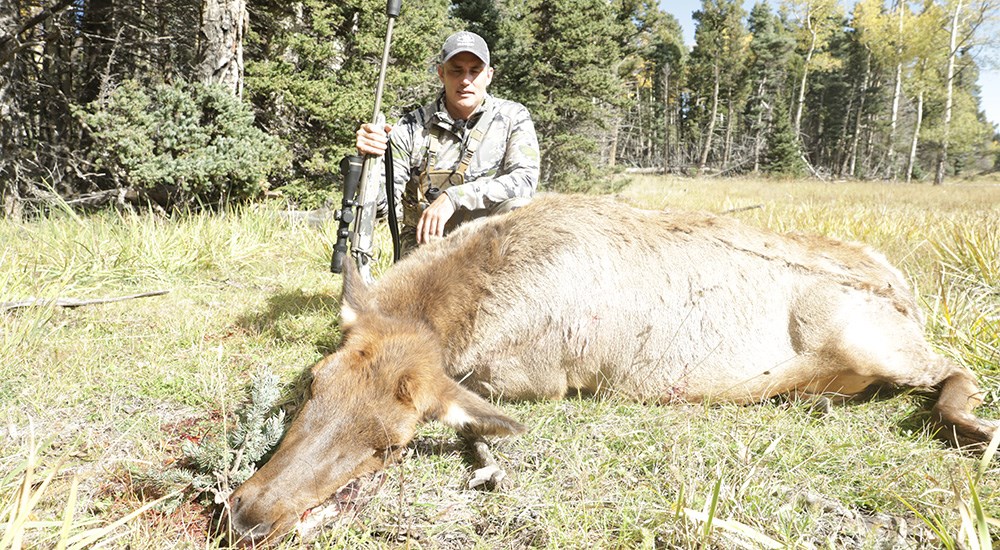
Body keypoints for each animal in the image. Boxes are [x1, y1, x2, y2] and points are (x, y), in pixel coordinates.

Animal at [227, 194, 992, 544]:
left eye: (392, 443)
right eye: (313, 384)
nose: (247, 512)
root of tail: (902, 284)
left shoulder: (543, 378)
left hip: (859, 331)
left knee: (955, 368)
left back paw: (971, 427)